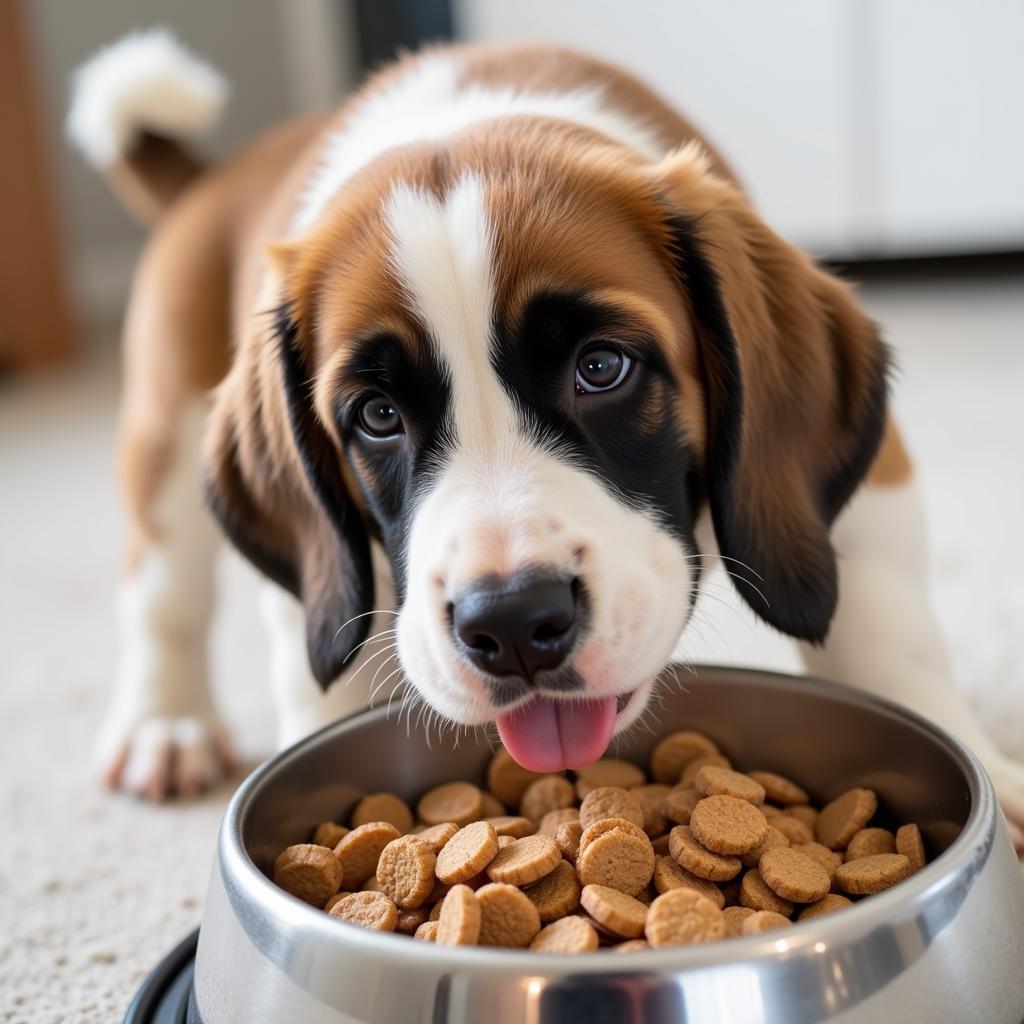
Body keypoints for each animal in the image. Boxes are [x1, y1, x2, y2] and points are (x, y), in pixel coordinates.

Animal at [68, 34, 1019, 847]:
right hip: (165, 434)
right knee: (164, 593)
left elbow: (886, 621)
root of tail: (215, 175)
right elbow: (317, 669)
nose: (514, 624)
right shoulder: (321, 574)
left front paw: (979, 773)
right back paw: (164, 722)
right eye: (376, 416)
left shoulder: (858, 486)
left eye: (601, 368)